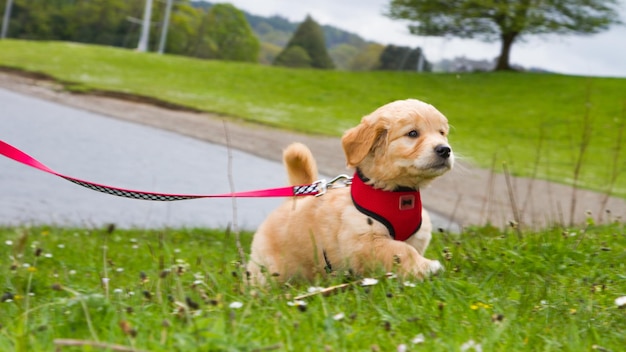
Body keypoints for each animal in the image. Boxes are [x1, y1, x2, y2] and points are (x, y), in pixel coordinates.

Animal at [245, 97, 454, 284]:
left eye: (442, 133)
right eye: (412, 133)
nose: (445, 149)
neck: (396, 192)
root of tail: (295, 199)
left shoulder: (416, 237)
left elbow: (406, 251)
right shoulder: (363, 241)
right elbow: (400, 251)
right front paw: (426, 267)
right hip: (268, 268)